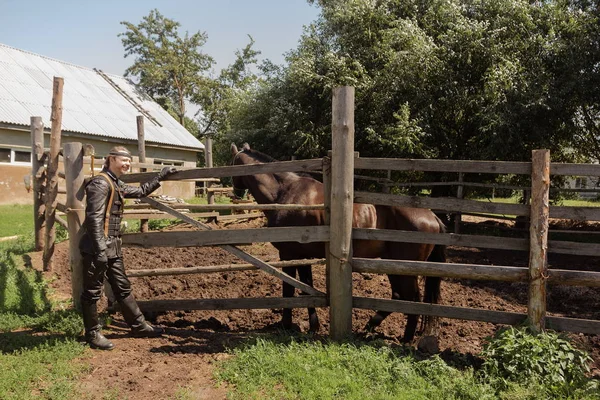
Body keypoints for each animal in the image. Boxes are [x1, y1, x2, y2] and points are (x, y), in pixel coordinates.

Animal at [230, 142, 446, 342]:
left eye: (232, 163)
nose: (236, 193)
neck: (287, 193)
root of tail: (432, 216)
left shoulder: (289, 255)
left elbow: (288, 290)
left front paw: (285, 325)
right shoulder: (303, 256)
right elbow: (306, 288)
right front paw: (313, 326)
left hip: (405, 269)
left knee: (413, 299)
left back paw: (406, 339)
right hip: (391, 264)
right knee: (399, 296)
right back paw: (370, 327)